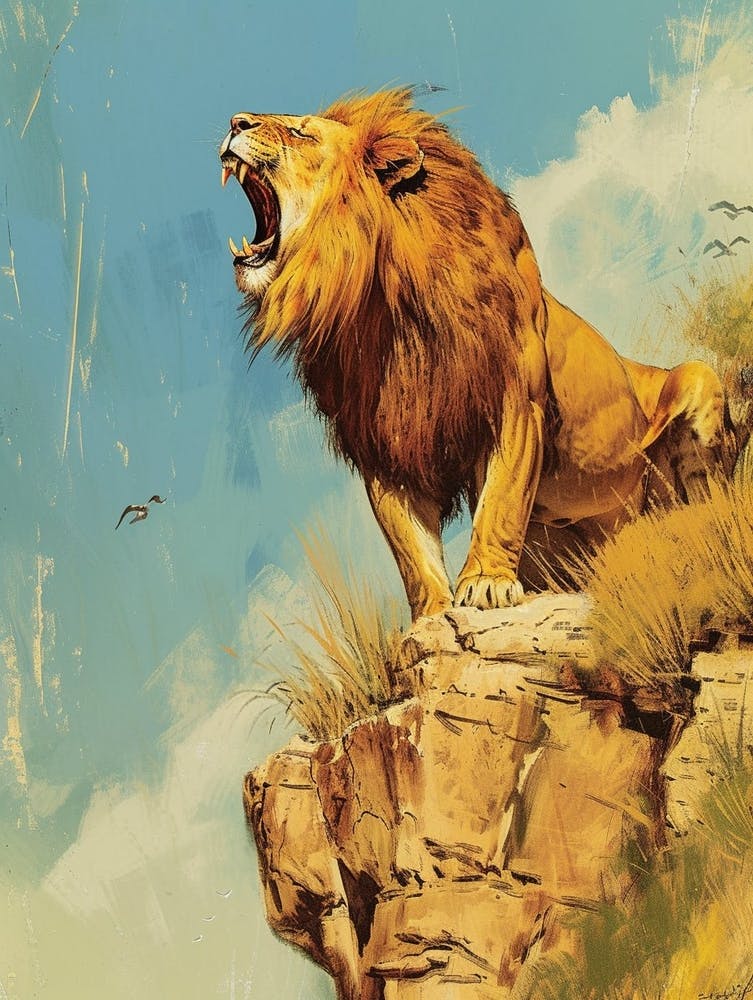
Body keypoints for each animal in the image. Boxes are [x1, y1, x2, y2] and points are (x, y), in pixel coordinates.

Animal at [218, 88, 739, 621]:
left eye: (301, 132)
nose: (235, 121)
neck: (382, 310)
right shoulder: (384, 439)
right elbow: (410, 546)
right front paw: (431, 616)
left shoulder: (515, 404)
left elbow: (500, 502)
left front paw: (487, 583)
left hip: (698, 382)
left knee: (702, 495)